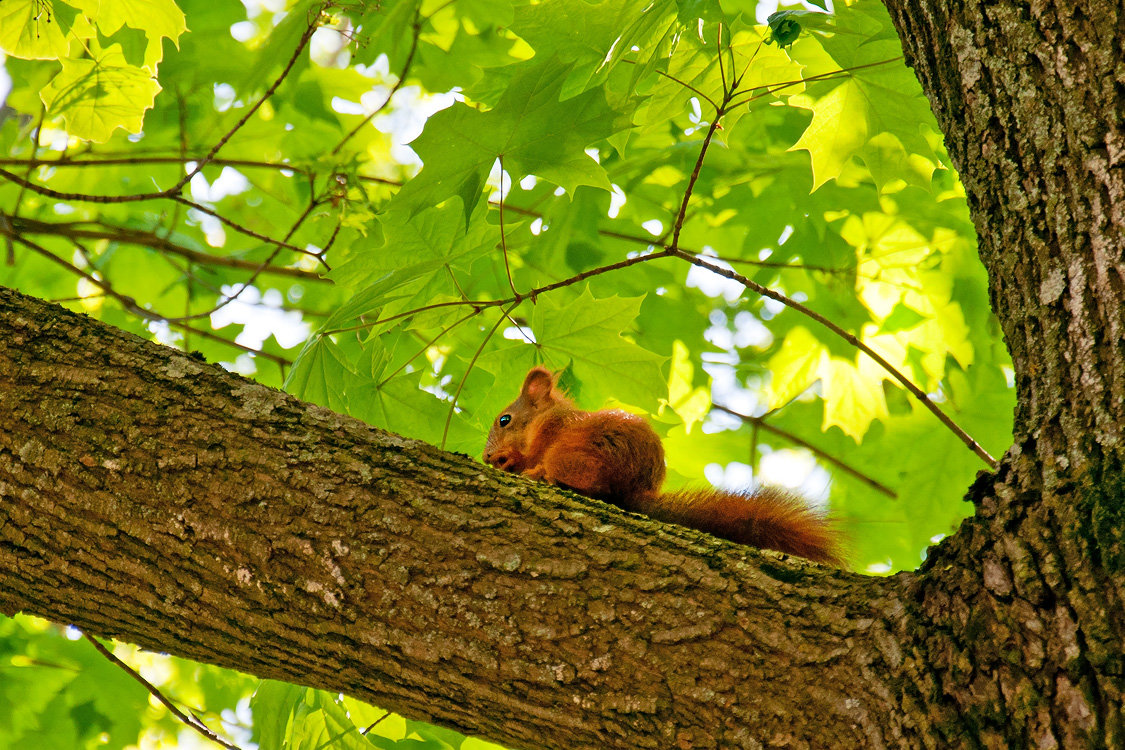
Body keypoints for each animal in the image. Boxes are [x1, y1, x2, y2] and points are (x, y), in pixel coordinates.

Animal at [483, 366, 846, 566]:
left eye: (504, 420)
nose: (487, 457)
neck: (544, 417)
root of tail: (633, 490)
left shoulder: (552, 431)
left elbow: (534, 451)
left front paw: (513, 461)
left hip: (573, 456)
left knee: (589, 483)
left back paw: (544, 475)